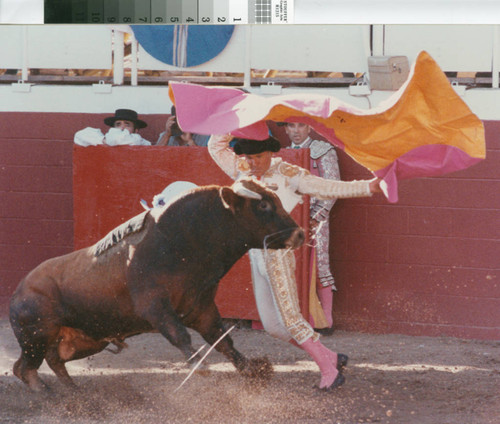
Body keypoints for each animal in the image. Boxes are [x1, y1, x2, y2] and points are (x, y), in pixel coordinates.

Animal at [8, 178, 304, 390]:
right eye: (263, 206)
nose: (300, 234)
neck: (182, 242)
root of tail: (17, 293)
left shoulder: (202, 307)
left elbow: (223, 341)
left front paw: (253, 369)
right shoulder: (154, 306)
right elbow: (180, 335)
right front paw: (199, 366)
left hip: (82, 342)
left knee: (52, 361)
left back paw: (74, 391)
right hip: (36, 336)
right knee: (24, 368)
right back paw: (49, 393)